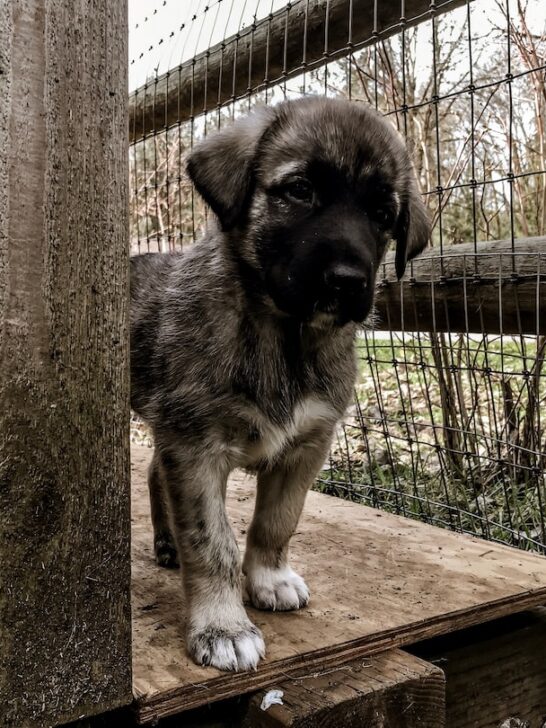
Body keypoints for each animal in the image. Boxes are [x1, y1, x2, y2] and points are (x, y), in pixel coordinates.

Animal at [130, 95, 428, 672]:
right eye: (299, 190)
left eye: (383, 215)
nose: (348, 282)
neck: (284, 339)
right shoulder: (196, 449)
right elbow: (211, 542)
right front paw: (222, 627)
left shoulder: (307, 445)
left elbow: (277, 521)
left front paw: (268, 580)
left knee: (155, 471)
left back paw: (166, 541)